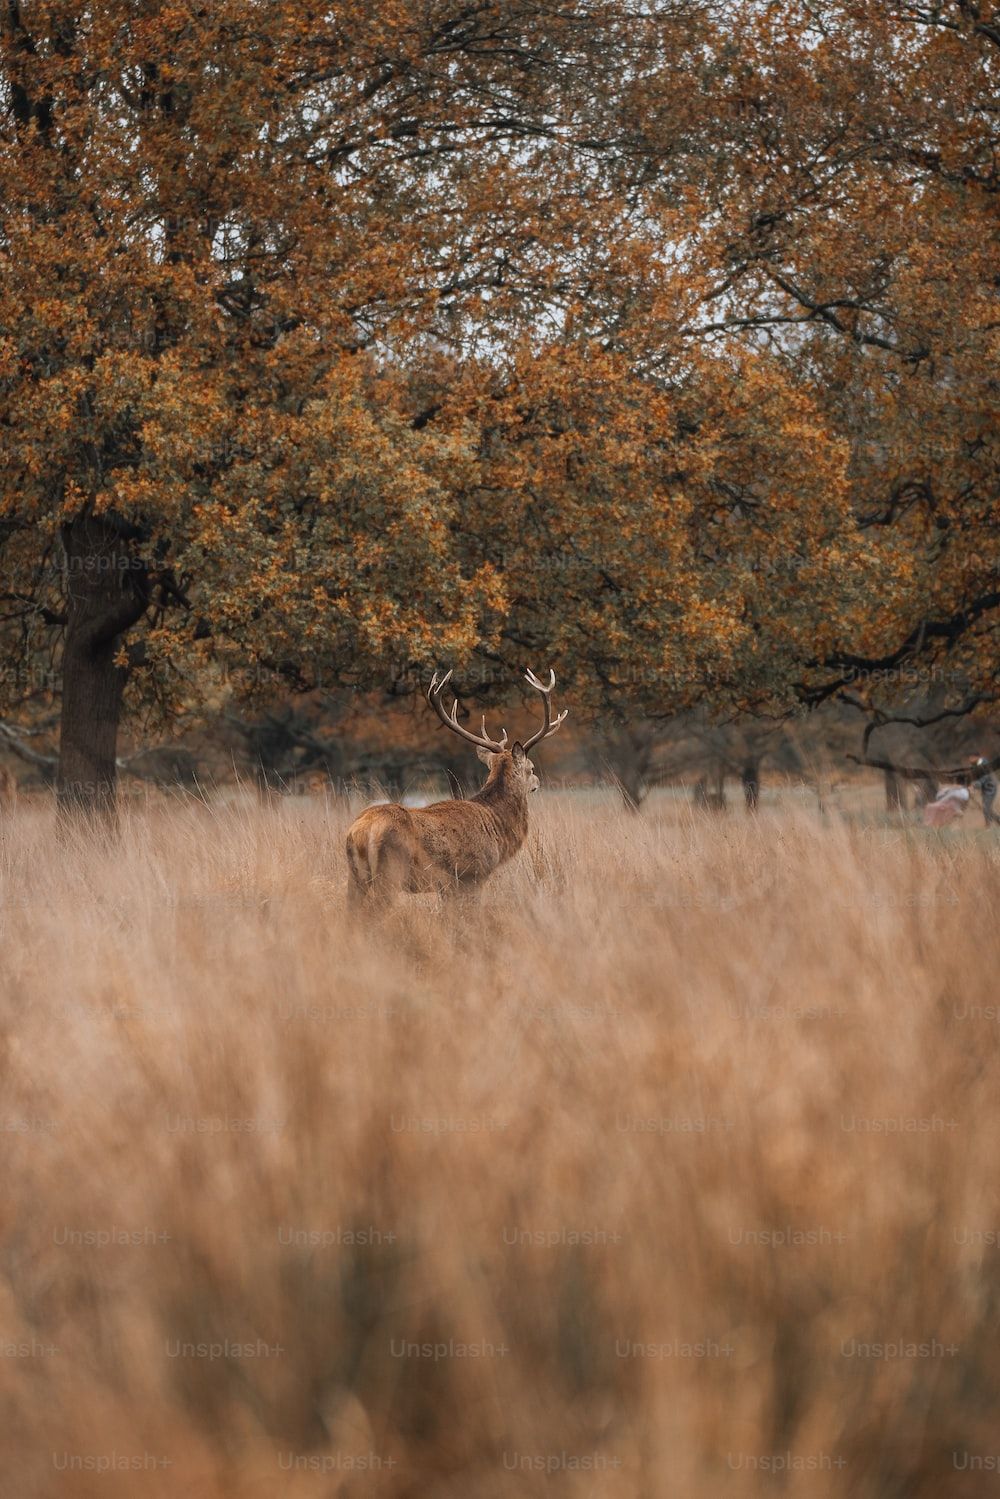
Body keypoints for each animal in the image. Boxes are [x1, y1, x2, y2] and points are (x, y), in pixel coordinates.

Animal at [345, 668, 567, 913]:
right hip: (390, 871)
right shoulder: (473, 875)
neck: (497, 828)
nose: (538, 782)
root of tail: (361, 831)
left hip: (354, 877)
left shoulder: (447, 887)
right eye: (531, 768)